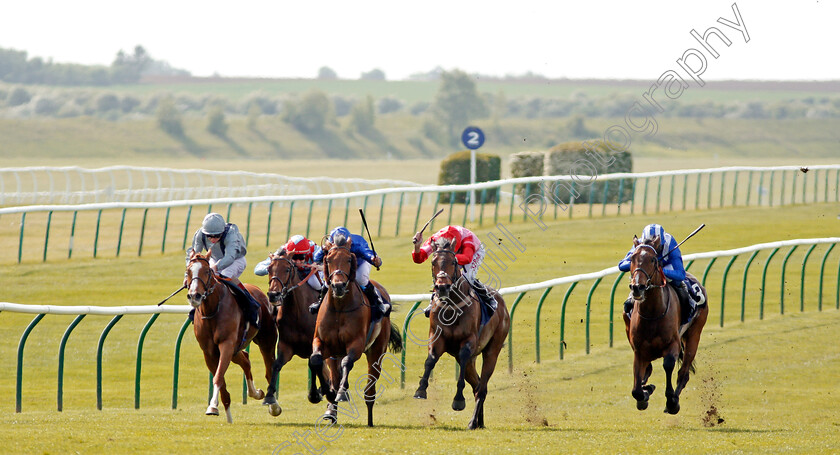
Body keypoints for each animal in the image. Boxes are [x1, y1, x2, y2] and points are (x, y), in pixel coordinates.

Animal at [185, 251, 278, 422]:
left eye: (207, 271)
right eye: (188, 271)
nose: (195, 295)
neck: (212, 310)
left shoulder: (226, 344)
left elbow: (218, 377)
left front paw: (212, 406)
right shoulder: (209, 352)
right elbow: (221, 380)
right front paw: (221, 411)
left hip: (266, 341)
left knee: (269, 370)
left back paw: (273, 405)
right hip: (236, 348)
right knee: (245, 360)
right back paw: (255, 393)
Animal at [260, 251, 336, 418]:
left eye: (287, 269)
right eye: (269, 269)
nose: (273, 295)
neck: (297, 312)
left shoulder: (313, 345)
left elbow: (314, 365)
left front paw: (317, 393)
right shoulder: (285, 345)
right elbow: (276, 365)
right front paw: (269, 396)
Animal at [308, 235, 404, 428]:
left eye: (348, 259)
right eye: (328, 259)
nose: (338, 286)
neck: (339, 308)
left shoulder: (356, 344)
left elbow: (347, 362)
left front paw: (339, 393)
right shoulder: (322, 342)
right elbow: (315, 360)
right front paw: (319, 394)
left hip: (376, 351)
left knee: (370, 388)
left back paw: (369, 419)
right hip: (334, 355)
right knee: (335, 374)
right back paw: (331, 410)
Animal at [414, 239, 512, 432]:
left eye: (453, 262)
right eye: (433, 262)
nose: (442, 287)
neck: (451, 305)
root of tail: (503, 306)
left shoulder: (468, 343)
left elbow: (463, 364)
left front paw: (458, 400)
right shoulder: (437, 338)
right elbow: (430, 360)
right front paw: (421, 389)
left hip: (492, 350)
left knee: (482, 387)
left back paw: (473, 422)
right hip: (467, 361)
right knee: (477, 385)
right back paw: (479, 422)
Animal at [624, 237, 708, 416]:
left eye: (653, 260)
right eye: (632, 258)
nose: (637, 287)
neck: (652, 314)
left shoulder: (673, 344)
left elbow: (668, 365)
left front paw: (671, 401)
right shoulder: (639, 350)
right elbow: (636, 389)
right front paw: (645, 393)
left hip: (694, 334)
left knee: (683, 373)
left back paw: (674, 399)